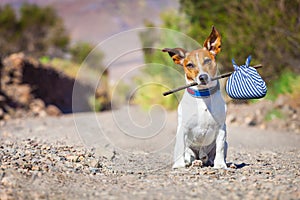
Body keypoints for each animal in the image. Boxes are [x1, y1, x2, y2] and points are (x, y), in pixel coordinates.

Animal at [163, 25, 226, 168]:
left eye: (207, 60)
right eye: (190, 65)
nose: (203, 77)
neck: (203, 96)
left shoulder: (221, 128)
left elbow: (220, 147)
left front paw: (220, 165)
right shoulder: (183, 128)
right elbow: (179, 147)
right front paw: (179, 166)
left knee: (210, 156)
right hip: (190, 150)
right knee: (190, 156)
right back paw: (194, 162)